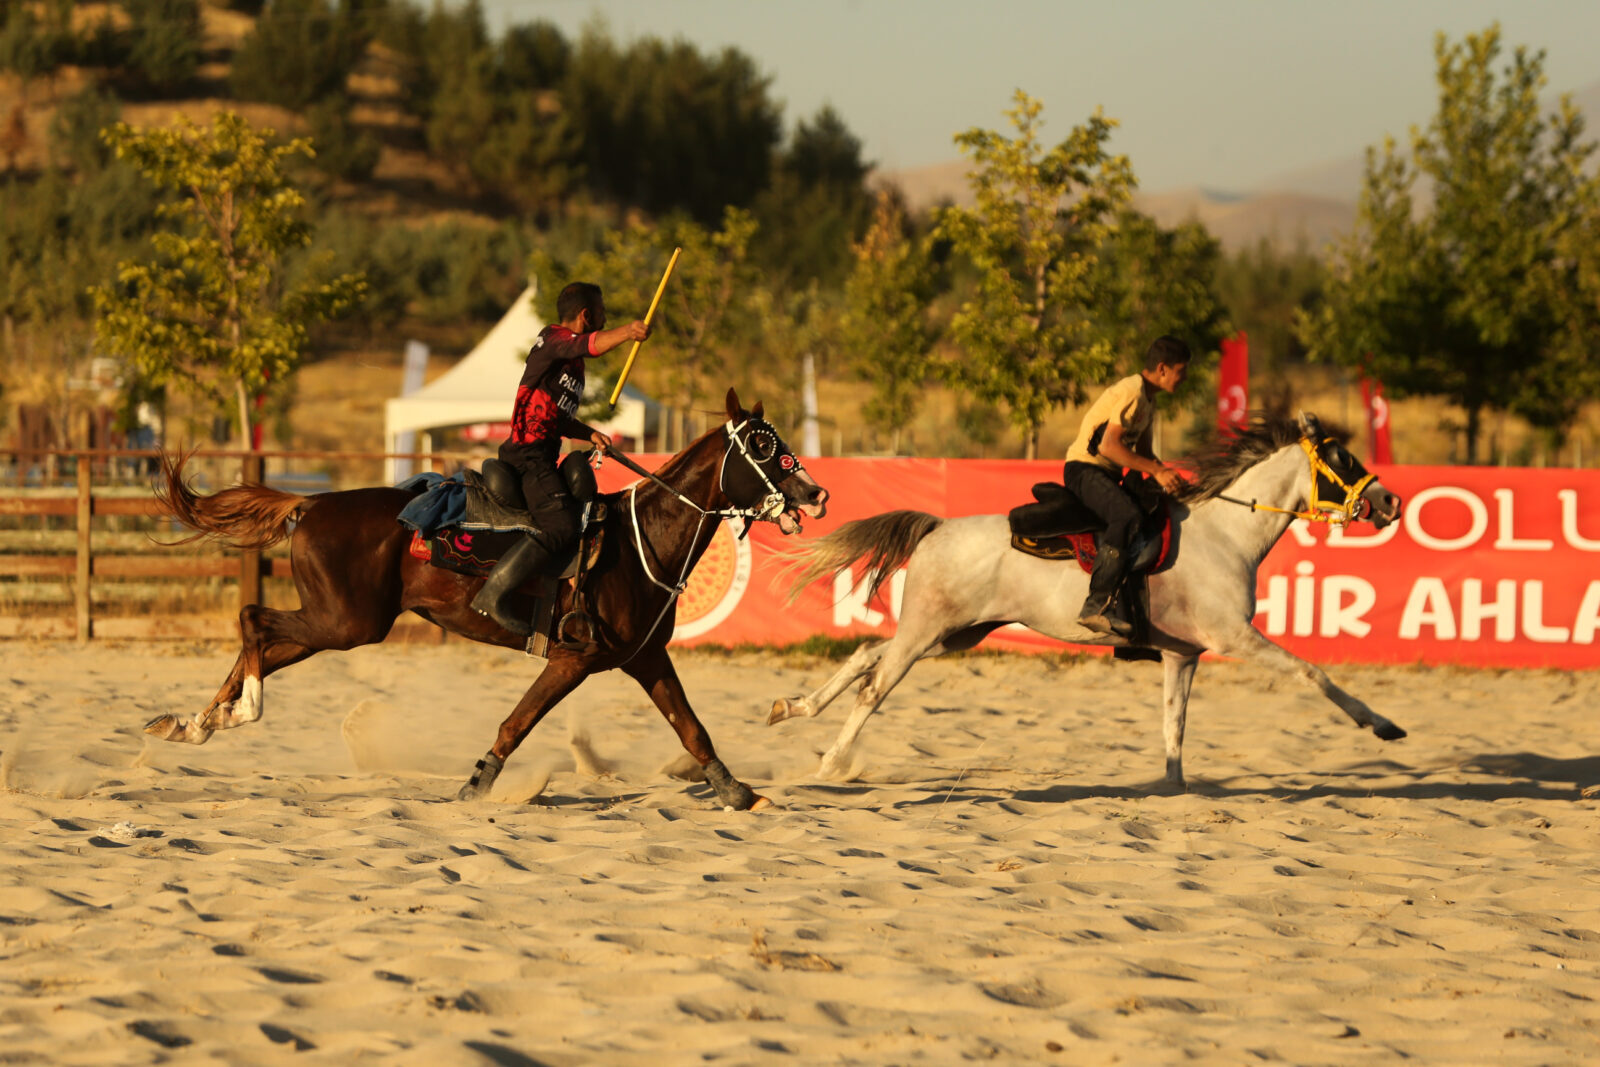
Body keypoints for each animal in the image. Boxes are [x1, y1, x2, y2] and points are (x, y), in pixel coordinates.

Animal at [144, 391, 832, 809]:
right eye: (763, 446)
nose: (818, 493)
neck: (638, 540)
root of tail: (311, 503)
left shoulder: (645, 659)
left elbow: (692, 727)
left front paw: (740, 793)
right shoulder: (574, 659)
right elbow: (517, 722)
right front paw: (478, 785)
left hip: (335, 623)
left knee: (260, 638)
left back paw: (197, 723)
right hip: (343, 622)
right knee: (253, 619)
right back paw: (232, 713)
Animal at [768, 412, 1408, 790]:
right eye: (1343, 459)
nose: (1391, 502)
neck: (1227, 533)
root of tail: (937, 525)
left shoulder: (1183, 656)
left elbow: (1174, 729)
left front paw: (1172, 789)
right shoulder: (1235, 638)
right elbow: (1312, 672)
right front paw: (1381, 725)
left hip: (949, 635)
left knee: (864, 657)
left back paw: (793, 708)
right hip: (928, 632)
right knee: (874, 687)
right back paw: (830, 763)